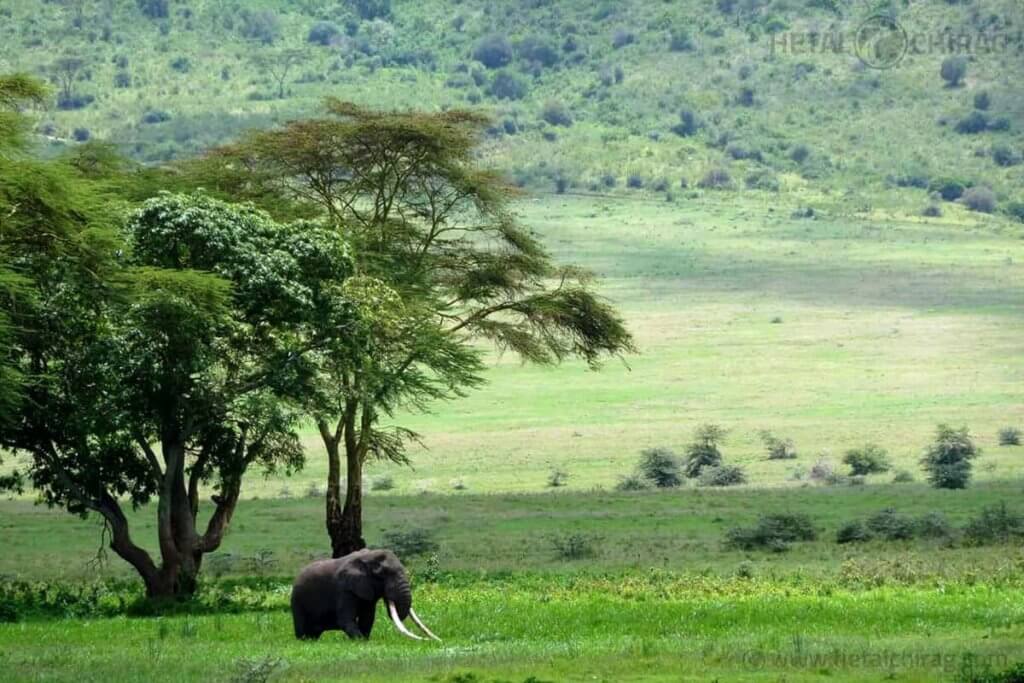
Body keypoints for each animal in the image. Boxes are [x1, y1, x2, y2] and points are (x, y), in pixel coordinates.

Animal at [288, 548, 440, 643]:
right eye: (382, 574)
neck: (367, 557)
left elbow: (367, 619)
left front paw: (365, 641)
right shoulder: (344, 588)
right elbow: (346, 620)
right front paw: (360, 641)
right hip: (296, 600)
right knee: (302, 628)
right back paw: (304, 641)